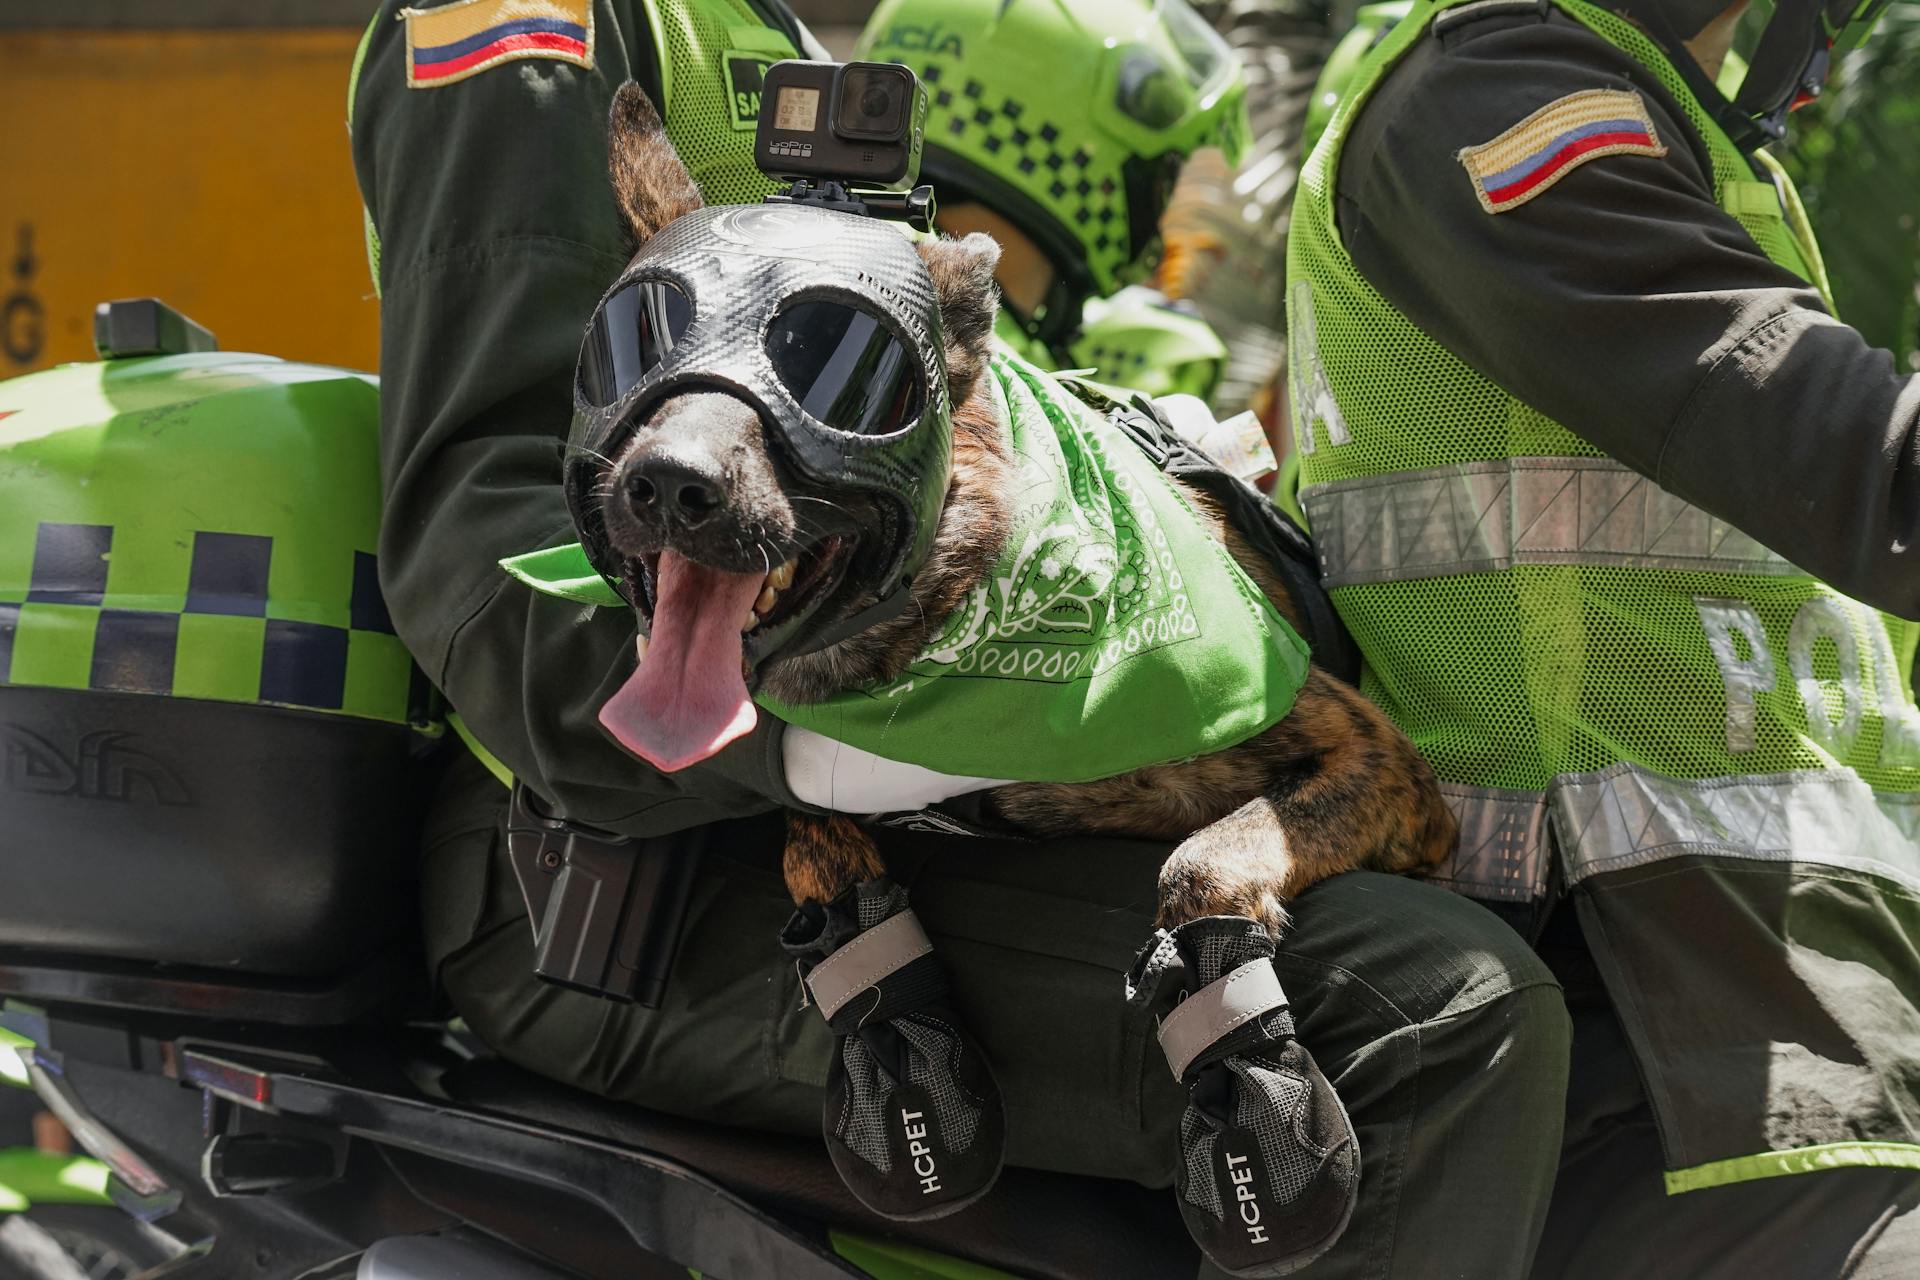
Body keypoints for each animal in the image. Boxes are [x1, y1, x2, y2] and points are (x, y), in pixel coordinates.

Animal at [591, 82, 1443, 940]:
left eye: (832, 364)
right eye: (635, 348)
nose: (670, 485)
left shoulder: (1383, 762)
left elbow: (1204, 860)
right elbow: (809, 835)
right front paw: (836, 867)